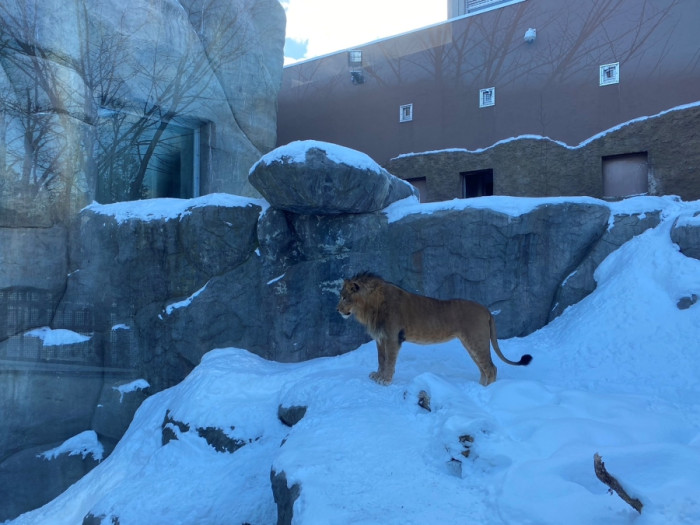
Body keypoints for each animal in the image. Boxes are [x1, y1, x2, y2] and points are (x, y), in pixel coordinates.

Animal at [338, 272, 532, 386]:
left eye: (345, 297)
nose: (337, 310)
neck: (368, 308)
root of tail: (487, 310)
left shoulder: (393, 337)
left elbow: (389, 361)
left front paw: (385, 381)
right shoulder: (380, 338)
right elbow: (381, 359)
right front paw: (377, 376)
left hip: (476, 341)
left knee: (491, 368)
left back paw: (486, 390)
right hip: (471, 344)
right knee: (484, 368)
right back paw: (480, 386)